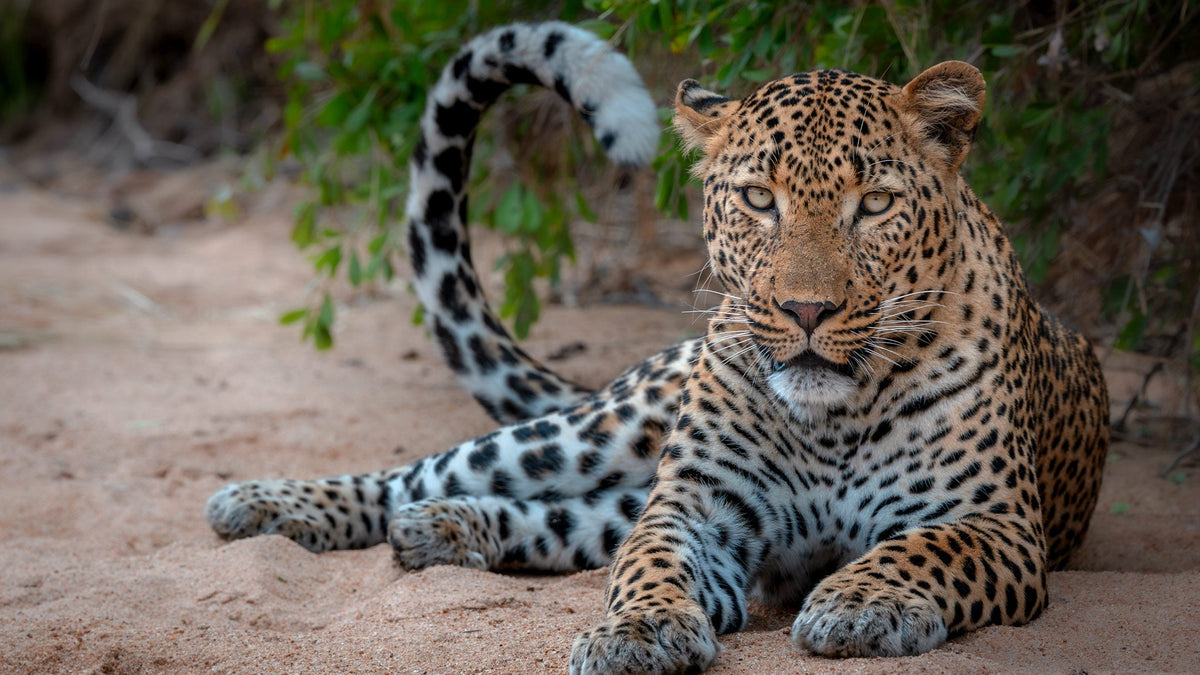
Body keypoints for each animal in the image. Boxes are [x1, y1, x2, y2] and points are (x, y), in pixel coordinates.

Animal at [204, 21, 1110, 672]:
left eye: (877, 204)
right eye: (758, 199)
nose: (806, 308)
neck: (834, 420)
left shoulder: (996, 524)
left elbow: (921, 549)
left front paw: (861, 603)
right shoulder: (696, 506)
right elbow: (648, 563)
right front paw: (637, 632)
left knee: (564, 517)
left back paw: (444, 529)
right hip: (608, 427)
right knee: (430, 469)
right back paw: (265, 504)